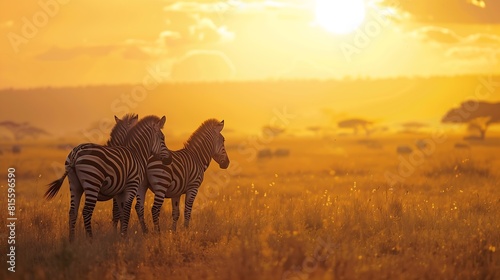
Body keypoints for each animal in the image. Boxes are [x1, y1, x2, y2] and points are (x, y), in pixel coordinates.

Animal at [45, 115, 174, 241]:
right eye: (162, 138)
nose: (169, 160)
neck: (136, 153)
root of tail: (76, 153)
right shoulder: (132, 185)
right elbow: (125, 211)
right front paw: (123, 237)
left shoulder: (119, 191)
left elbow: (120, 213)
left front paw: (119, 235)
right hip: (93, 182)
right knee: (86, 211)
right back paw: (90, 240)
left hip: (74, 184)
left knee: (73, 212)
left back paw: (72, 241)